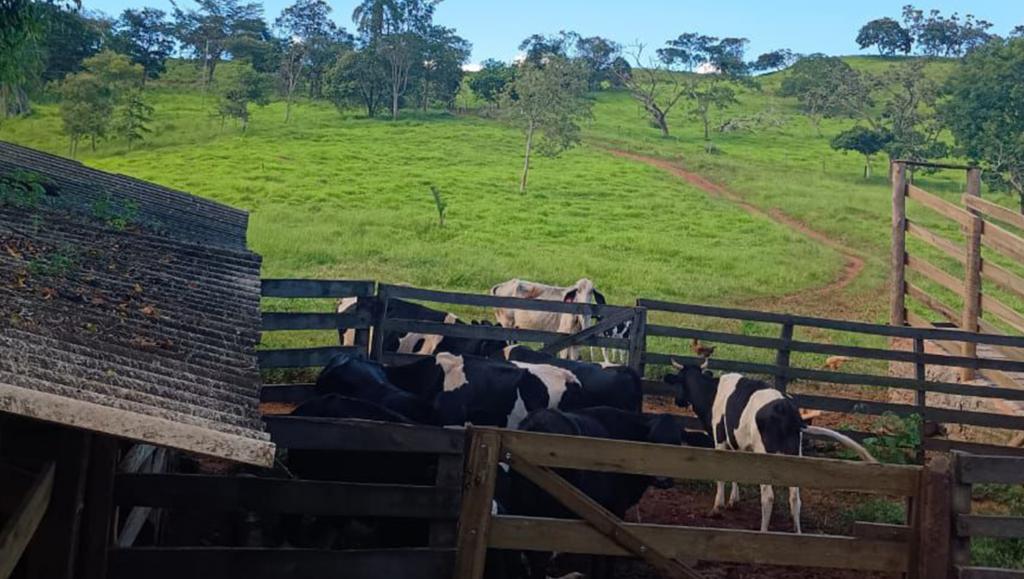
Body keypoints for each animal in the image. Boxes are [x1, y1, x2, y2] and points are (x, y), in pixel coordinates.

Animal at [667, 360, 876, 532]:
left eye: (678, 382)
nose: (677, 401)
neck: (712, 393)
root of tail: (787, 409)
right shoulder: (738, 444)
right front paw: (734, 500)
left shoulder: (720, 439)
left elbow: (722, 476)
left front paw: (717, 507)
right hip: (794, 454)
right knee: (795, 498)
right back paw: (797, 532)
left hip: (767, 456)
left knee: (768, 497)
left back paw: (763, 531)